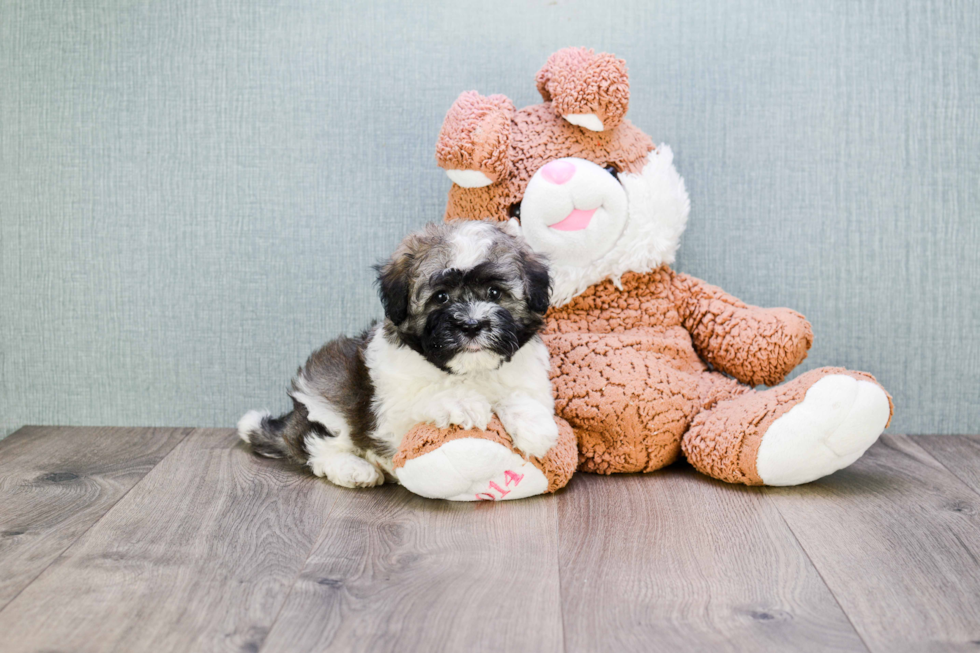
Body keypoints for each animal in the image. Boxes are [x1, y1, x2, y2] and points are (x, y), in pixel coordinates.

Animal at [235, 222, 560, 486]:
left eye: (494, 293)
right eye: (440, 297)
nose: (471, 325)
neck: (469, 370)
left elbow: (521, 394)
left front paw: (534, 425)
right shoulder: (390, 416)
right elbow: (423, 397)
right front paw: (463, 403)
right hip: (326, 394)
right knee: (319, 446)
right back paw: (354, 469)